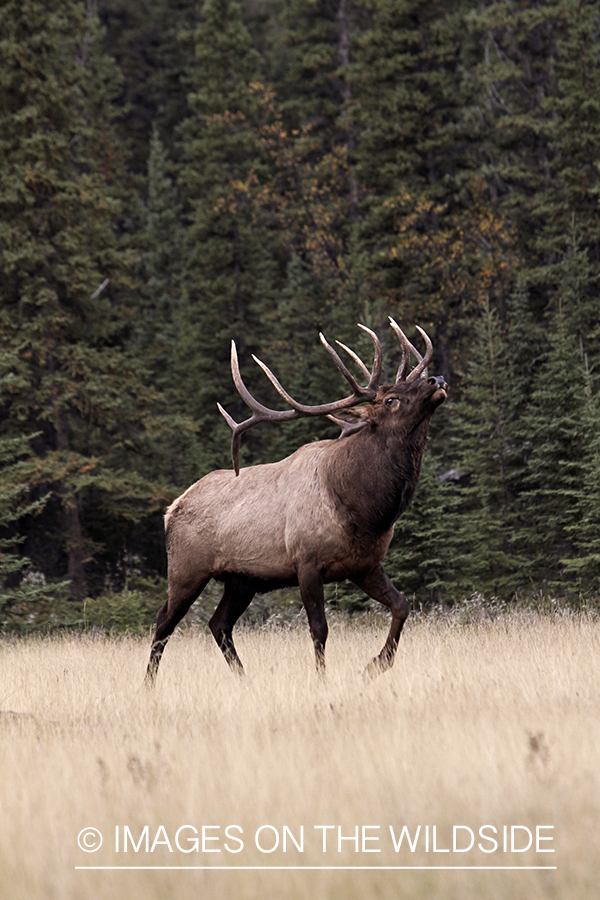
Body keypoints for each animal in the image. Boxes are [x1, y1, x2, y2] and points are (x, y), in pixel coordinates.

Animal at [146, 318, 448, 682]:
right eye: (391, 399)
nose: (437, 379)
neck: (364, 511)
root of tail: (170, 509)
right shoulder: (306, 562)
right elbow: (319, 629)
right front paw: (322, 679)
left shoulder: (364, 565)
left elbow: (402, 605)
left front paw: (375, 665)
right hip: (186, 568)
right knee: (164, 622)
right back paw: (149, 684)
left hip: (242, 580)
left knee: (219, 623)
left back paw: (244, 679)